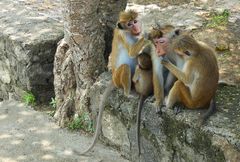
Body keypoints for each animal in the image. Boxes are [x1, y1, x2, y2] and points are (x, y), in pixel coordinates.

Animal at [79, 9, 146, 154]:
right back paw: (128, 92)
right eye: (130, 24)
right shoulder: (124, 35)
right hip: (118, 78)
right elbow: (132, 52)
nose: (136, 27)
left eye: (135, 21)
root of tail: (113, 78)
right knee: (125, 67)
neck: (129, 33)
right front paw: (149, 35)